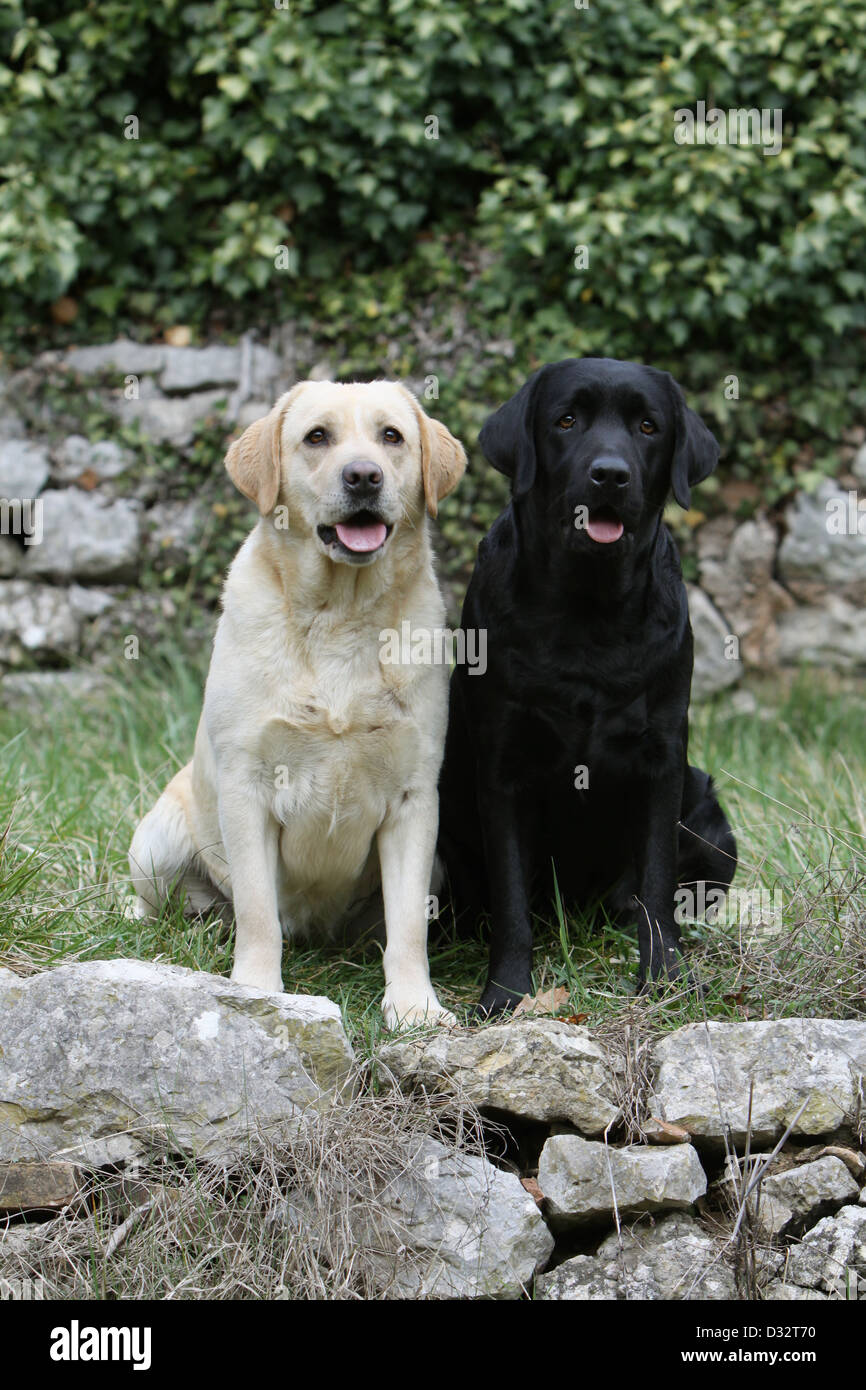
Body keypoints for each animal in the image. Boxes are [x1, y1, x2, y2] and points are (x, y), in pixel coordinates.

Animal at [127, 380, 464, 1034]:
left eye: (391, 436)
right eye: (317, 437)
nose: (364, 476)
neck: (340, 614)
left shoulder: (415, 798)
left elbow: (408, 925)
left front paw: (413, 1004)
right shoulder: (247, 785)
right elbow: (258, 911)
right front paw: (257, 991)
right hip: (155, 843)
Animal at [439, 355, 739, 1011]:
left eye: (648, 426)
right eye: (567, 421)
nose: (610, 475)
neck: (588, 610)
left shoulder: (663, 761)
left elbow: (657, 882)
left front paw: (664, 978)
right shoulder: (503, 768)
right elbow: (511, 901)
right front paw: (505, 994)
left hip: (709, 819)